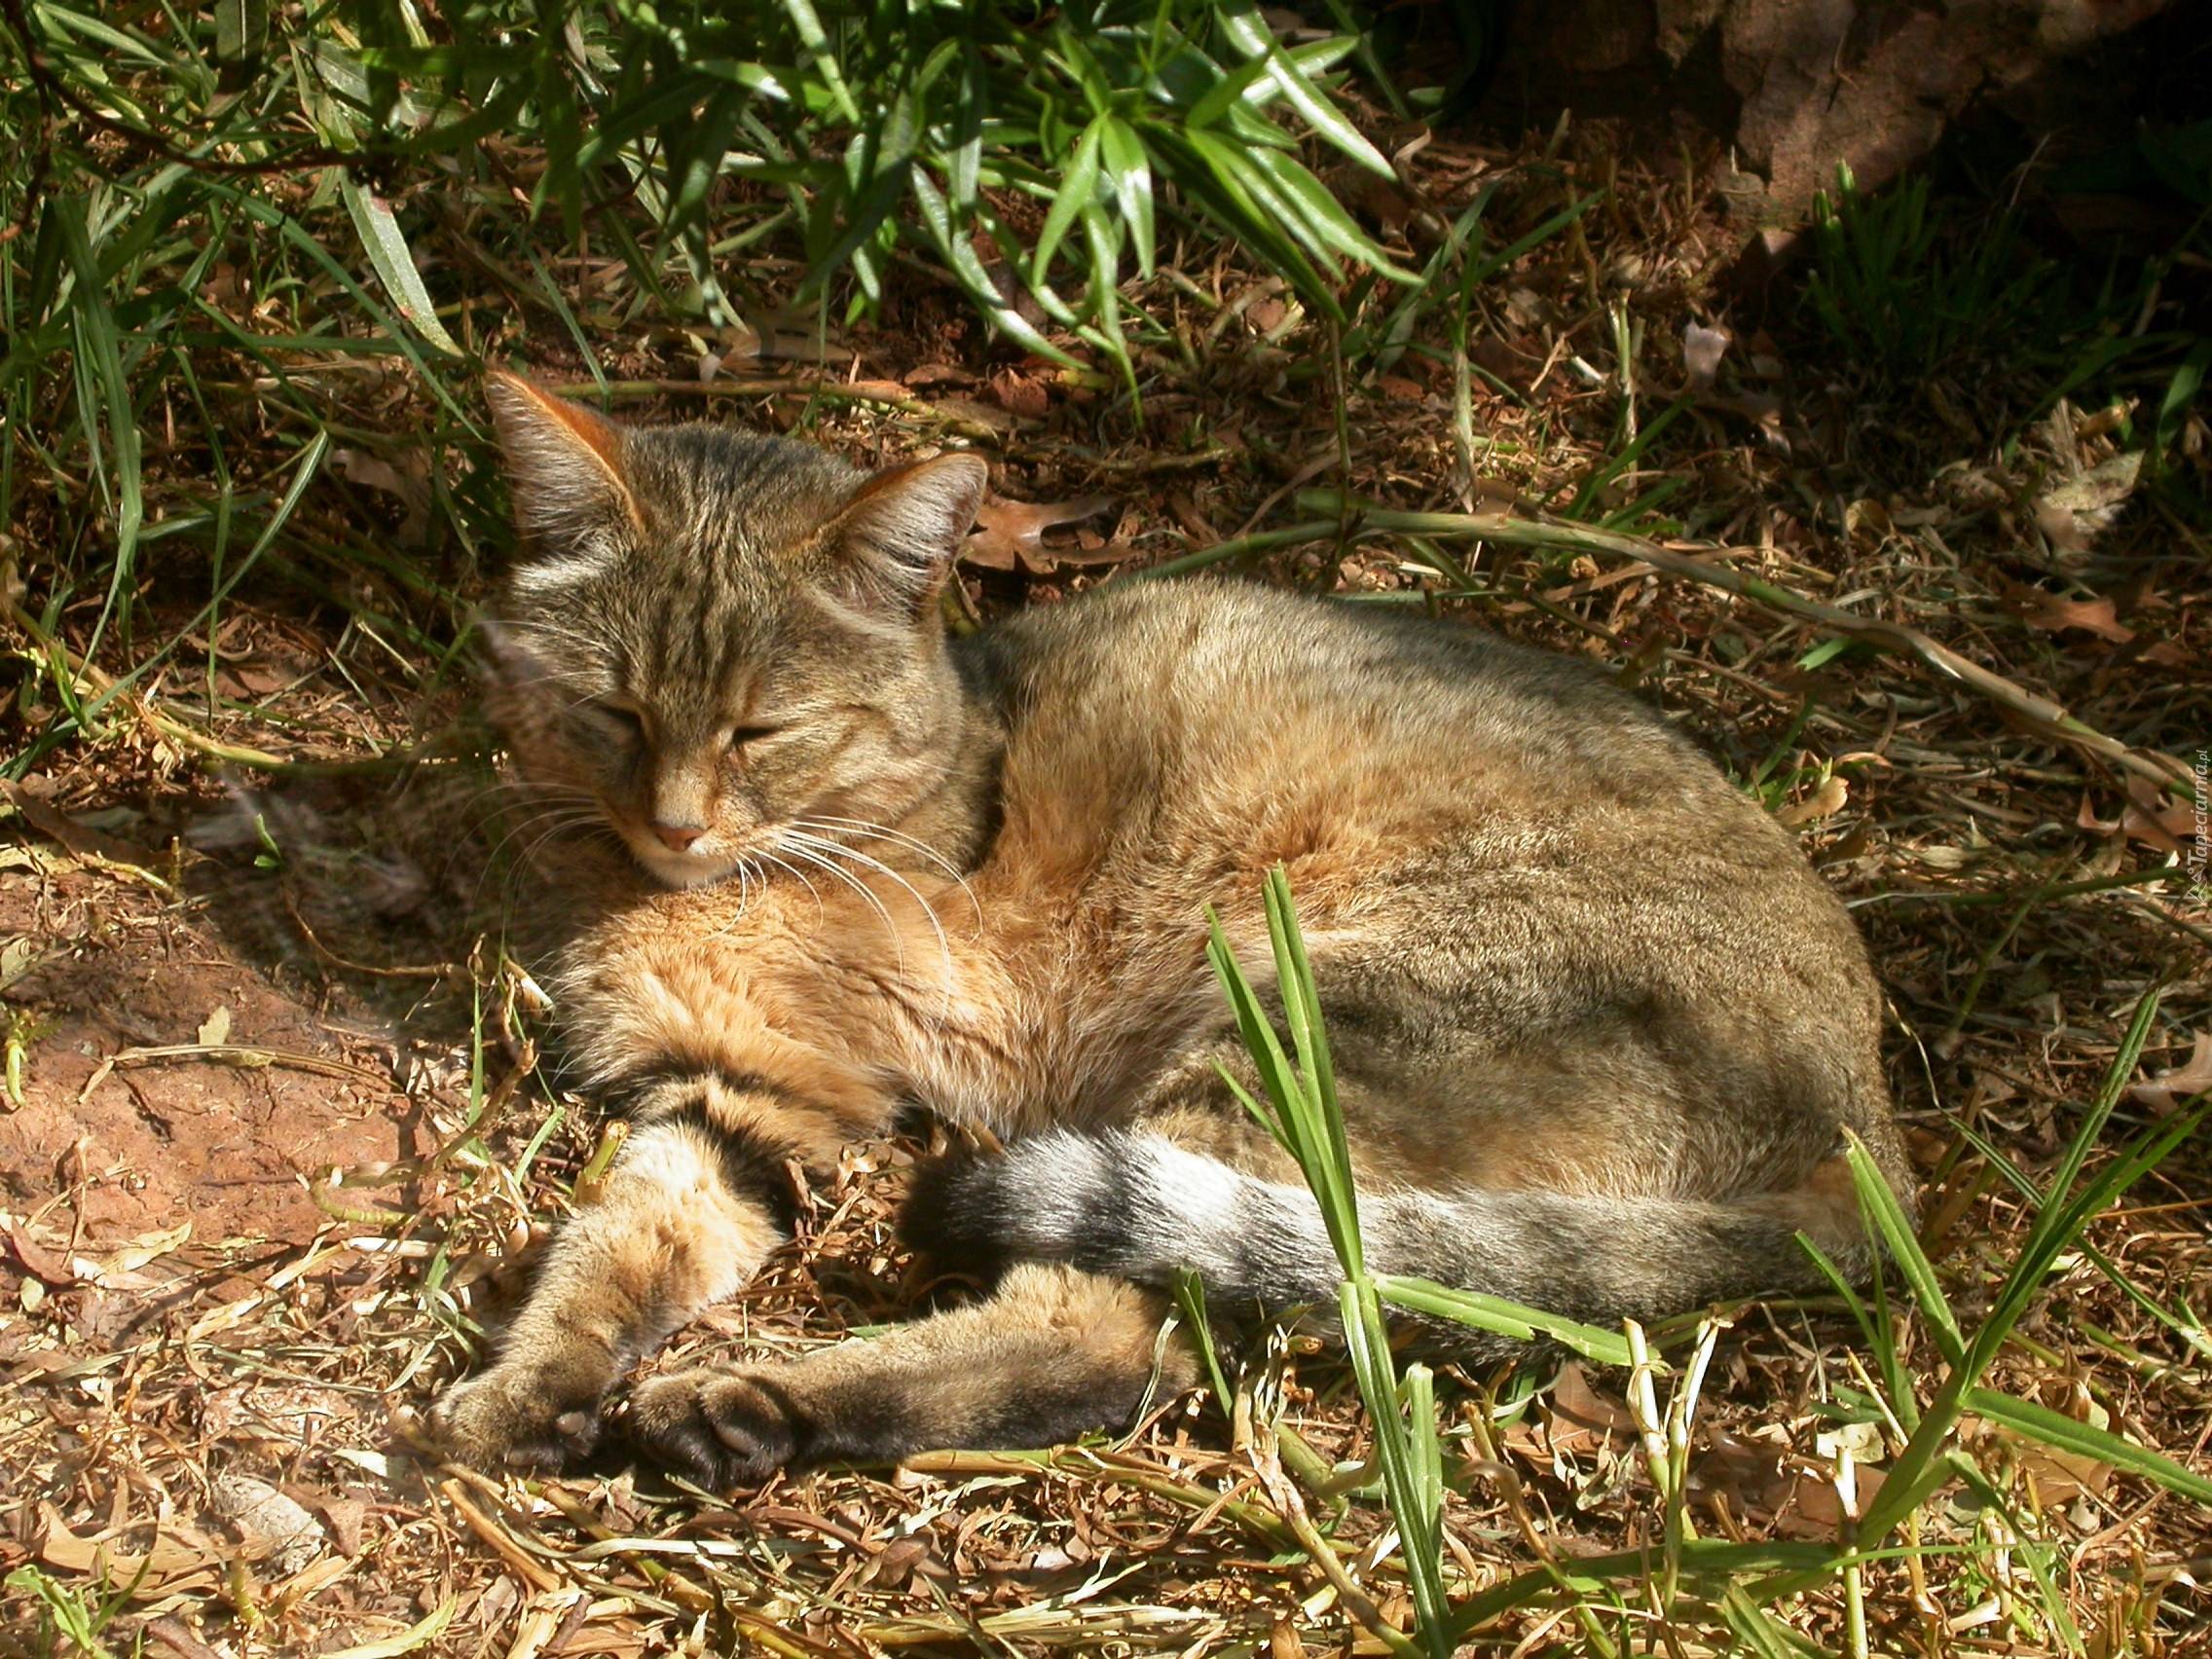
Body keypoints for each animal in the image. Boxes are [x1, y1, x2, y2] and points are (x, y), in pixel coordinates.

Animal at [431, 373, 1920, 1477]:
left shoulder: (858, 1064)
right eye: (617, 711)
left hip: (1293, 1022)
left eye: (760, 730)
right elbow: (616, 1241)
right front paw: (526, 1383)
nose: (675, 824)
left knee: (1108, 1330)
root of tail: (1870, 1142)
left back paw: (758, 1404)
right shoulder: (741, 1090)